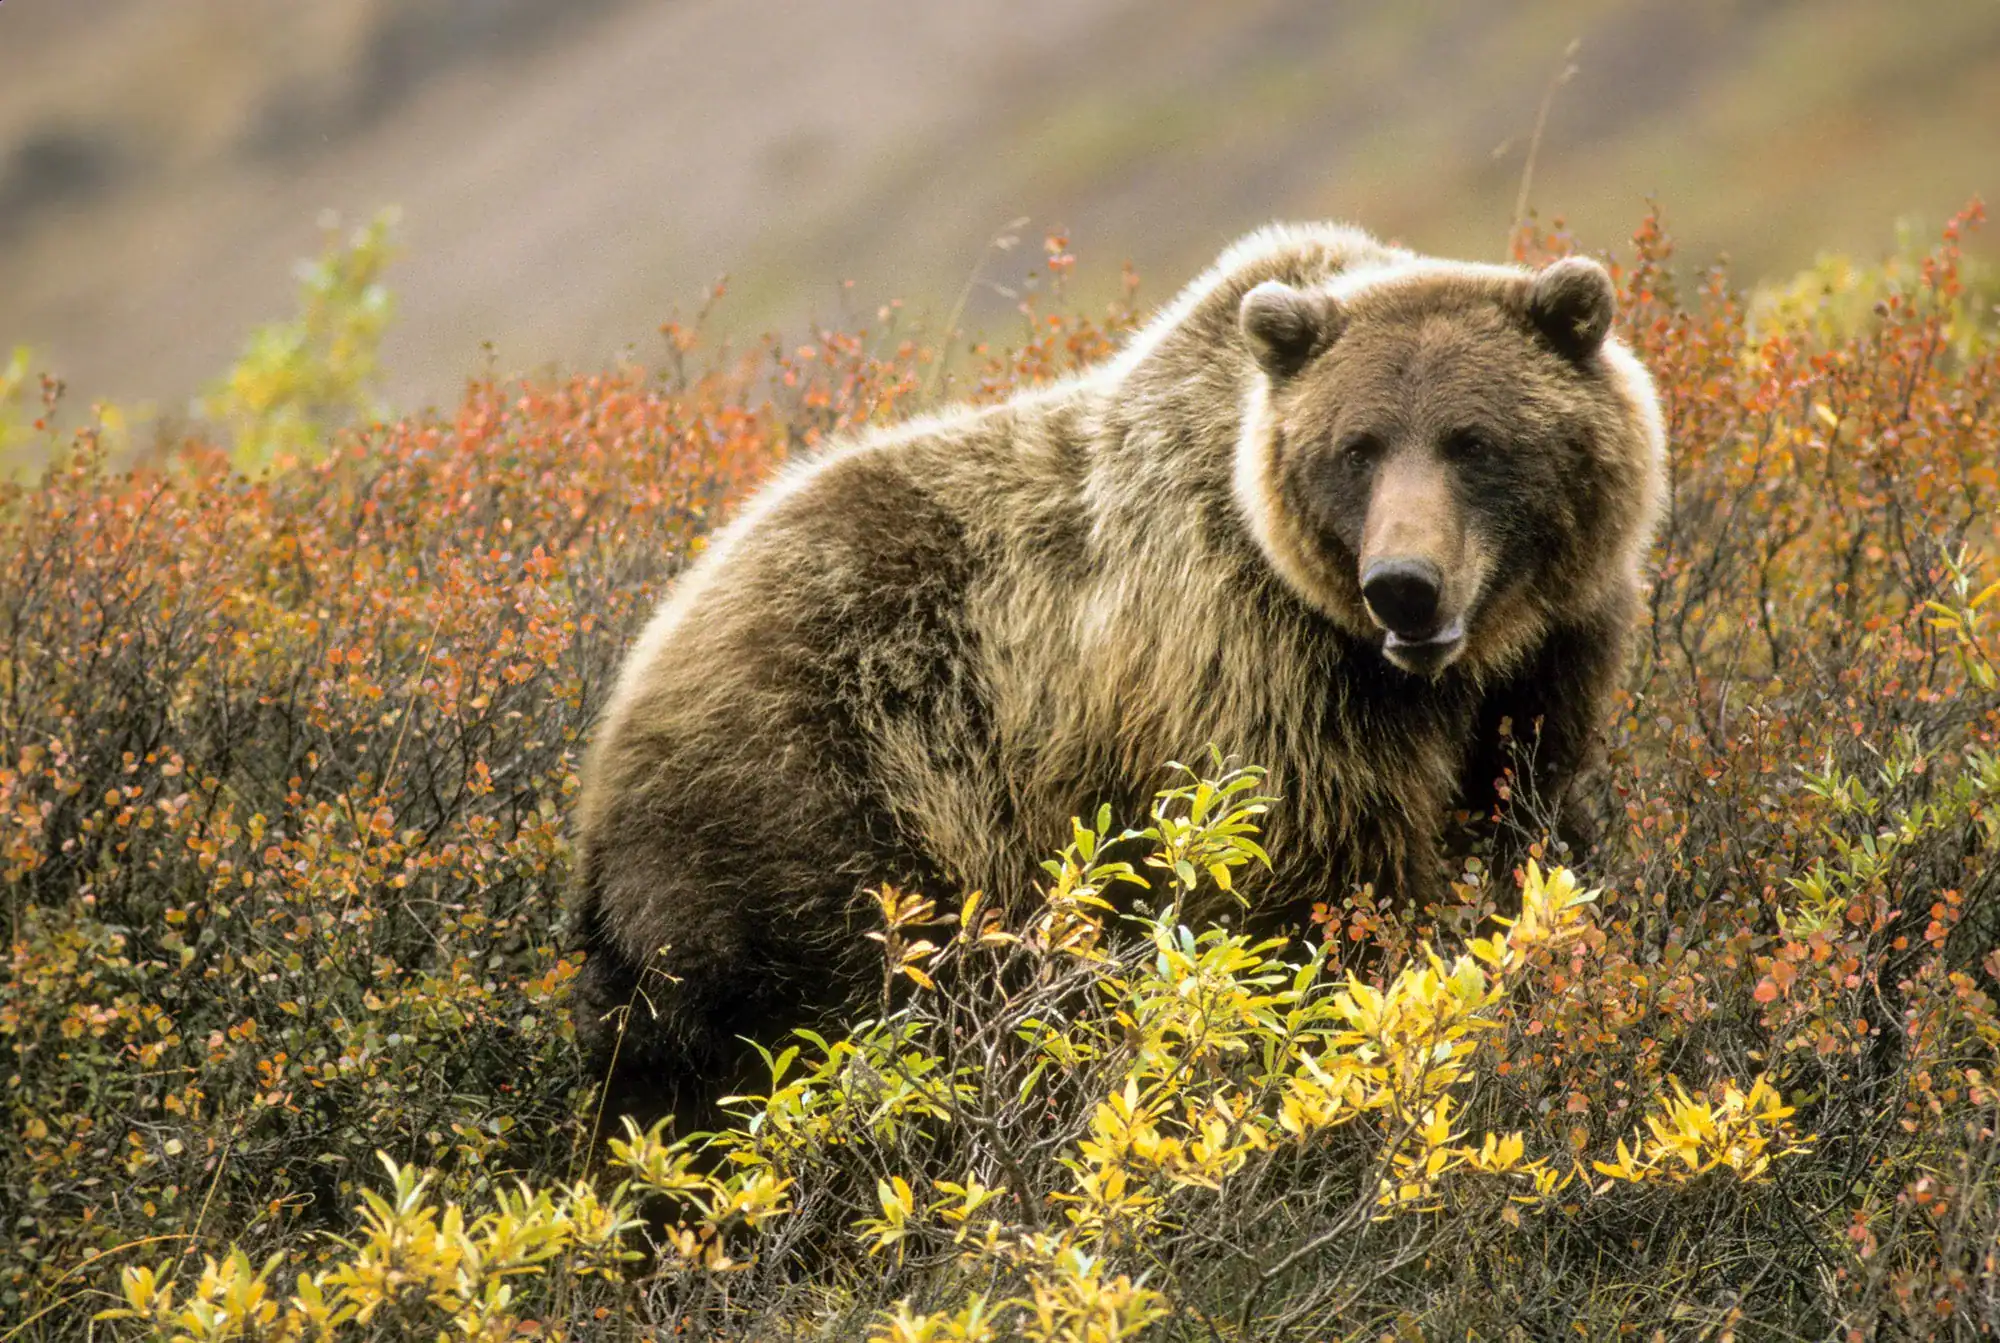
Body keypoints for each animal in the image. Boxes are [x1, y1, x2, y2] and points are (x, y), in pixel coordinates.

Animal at [570, 222, 1667, 1133]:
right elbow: (1318, 903)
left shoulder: (1547, 665)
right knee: (801, 1025)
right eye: (1356, 448)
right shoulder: (1261, 673)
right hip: (824, 804)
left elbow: (1527, 827)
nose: (1403, 584)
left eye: (1473, 441)